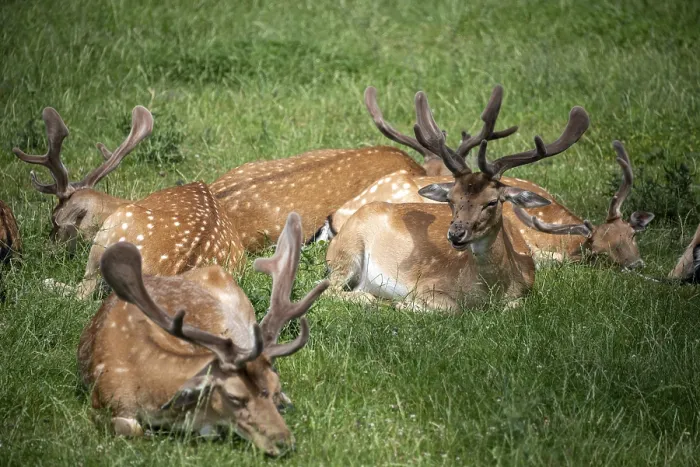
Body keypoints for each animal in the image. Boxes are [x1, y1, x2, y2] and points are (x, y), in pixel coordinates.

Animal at [325, 91, 590, 312]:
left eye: (492, 201)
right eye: (450, 199)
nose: (456, 234)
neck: (489, 293)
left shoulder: (527, 291)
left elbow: (515, 306)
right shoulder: (428, 284)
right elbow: (451, 307)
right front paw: (404, 304)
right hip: (346, 252)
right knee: (331, 288)